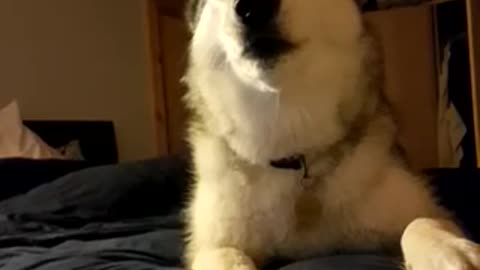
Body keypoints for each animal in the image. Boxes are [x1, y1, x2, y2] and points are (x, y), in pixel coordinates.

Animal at [182, 0, 480, 268]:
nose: (254, 7)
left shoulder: (417, 207)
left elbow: (421, 221)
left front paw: (448, 250)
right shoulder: (212, 245)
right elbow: (224, 253)